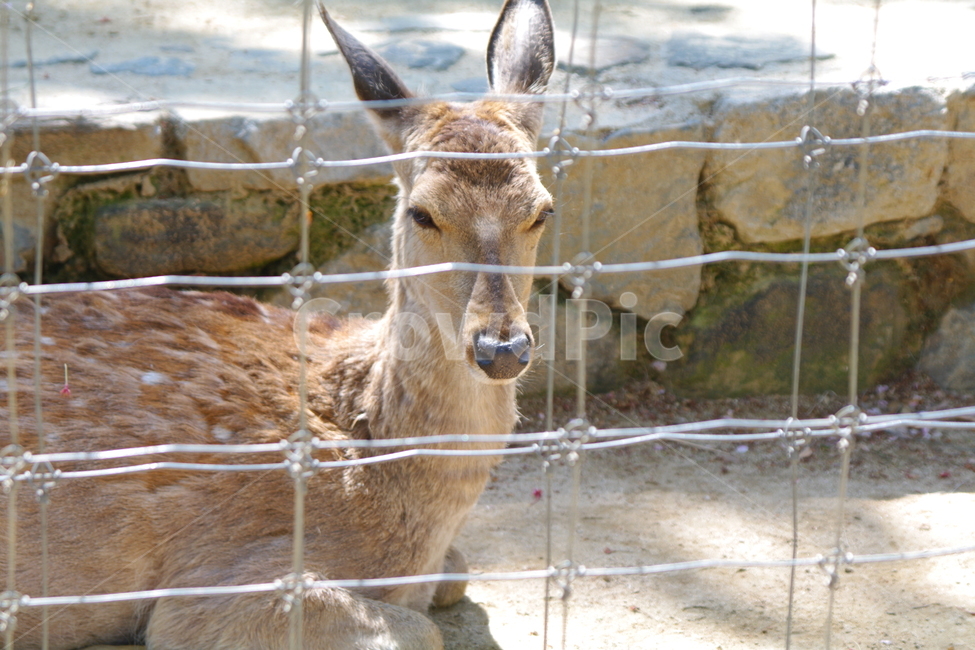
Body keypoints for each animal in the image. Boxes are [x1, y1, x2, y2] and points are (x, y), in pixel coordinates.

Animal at [0, 0, 555, 648]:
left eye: (542, 210)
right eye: (423, 212)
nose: (501, 346)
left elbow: (458, 574)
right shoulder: (207, 593)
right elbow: (422, 629)